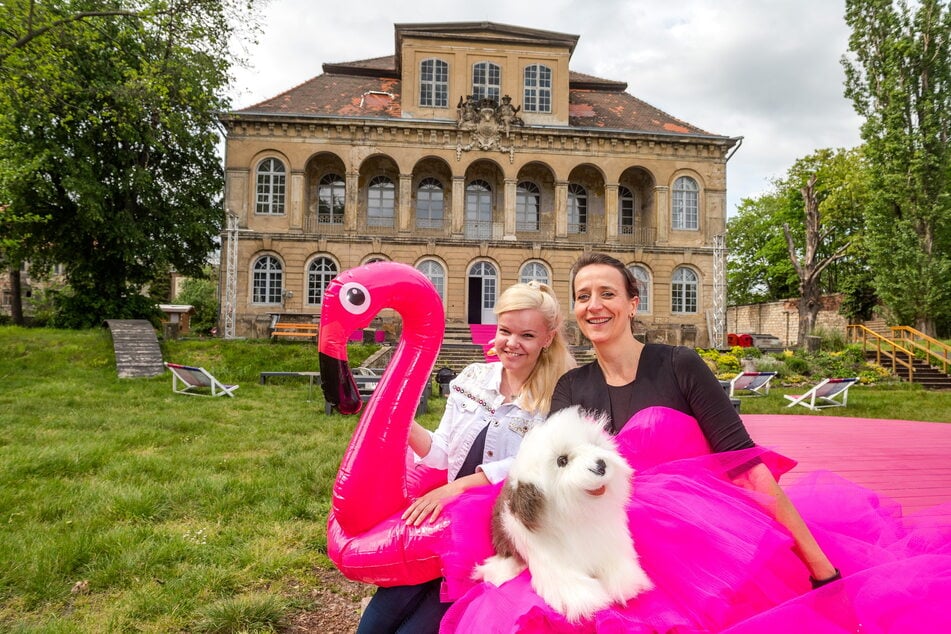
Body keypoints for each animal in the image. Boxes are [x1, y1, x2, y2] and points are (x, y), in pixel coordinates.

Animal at [476, 404, 656, 616]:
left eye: (593, 444)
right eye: (562, 461)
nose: (600, 465)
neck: (579, 515)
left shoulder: (608, 543)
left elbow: (615, 565)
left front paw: (625, 583)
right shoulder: (553, 562)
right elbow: (569, 585)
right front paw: (590, 600)